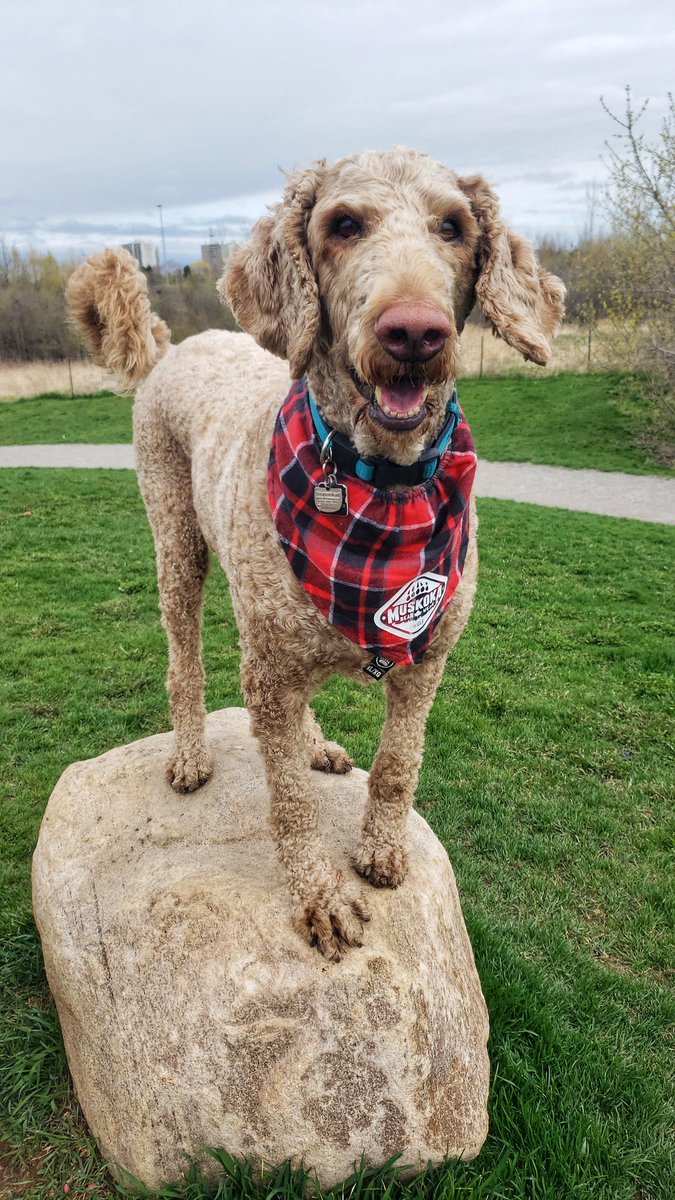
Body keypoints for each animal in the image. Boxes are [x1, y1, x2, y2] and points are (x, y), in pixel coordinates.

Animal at [68, 145, 562, 960]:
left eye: (453, 227)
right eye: (343, 225)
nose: (414, 333)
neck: (382, 483)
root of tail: (176, 347)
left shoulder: (426, 658)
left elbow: (396, 766)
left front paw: (381, 851)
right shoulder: (269, 667)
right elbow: (291, 804)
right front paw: (320, 899)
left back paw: (315, 744)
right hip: (180, 545)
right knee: (185, 659)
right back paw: (192, 754)